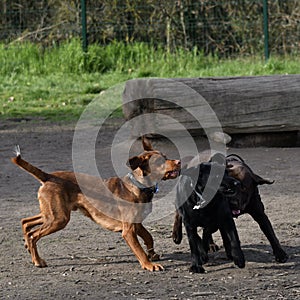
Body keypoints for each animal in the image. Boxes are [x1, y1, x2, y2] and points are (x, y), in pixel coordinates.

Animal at [11, 138, 180, 272]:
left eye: (166, 157)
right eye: (159, 161)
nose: (179, 162)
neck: (138, 185)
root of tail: (48, 176)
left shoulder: (137, 224)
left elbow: (149, 236)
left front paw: (152, 254)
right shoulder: (128, 230)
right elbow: (139, 249)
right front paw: (149, 264)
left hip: (52, 214)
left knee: (25, 222)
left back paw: (28, 248)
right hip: (59, 218)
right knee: (34, 234)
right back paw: (37, 261)